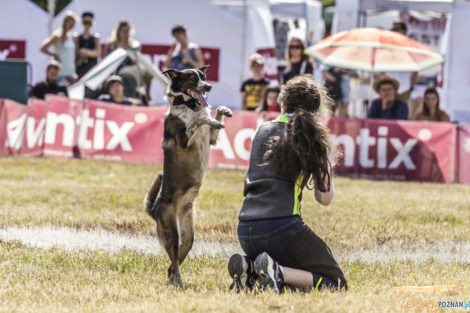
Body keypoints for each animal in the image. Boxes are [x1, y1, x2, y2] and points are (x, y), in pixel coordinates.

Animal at [143, 66, 231, 288]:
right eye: (192, 79)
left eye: (204, 77)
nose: (209, 86)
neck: (188, 105)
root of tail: (154, 210)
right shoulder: (184, 141)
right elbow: (199, 120)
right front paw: (208, 119)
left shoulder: (212, 139)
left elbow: (215, 117)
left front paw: (222, 112)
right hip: (171, 233)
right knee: (173, 259)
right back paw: (178, 283)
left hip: (188, 234)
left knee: (174, 262)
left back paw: (174, 280)